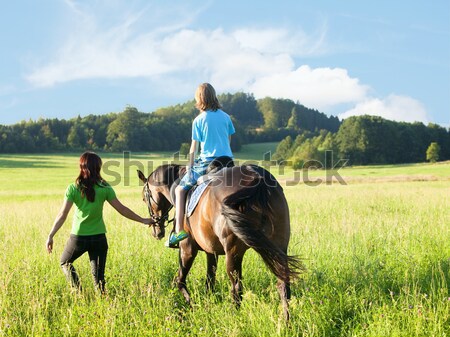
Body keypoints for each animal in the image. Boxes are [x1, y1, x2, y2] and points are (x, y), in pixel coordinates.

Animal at [137, 162, 302, 318]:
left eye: (145, 198)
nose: (156, 231)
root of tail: (258, 177)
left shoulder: (187, 249)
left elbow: (180, 280)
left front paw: (192, 306)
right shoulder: (212, 252)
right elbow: (210, 281)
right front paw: (208, 303)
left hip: (233, 253)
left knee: (237, 288)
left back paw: (235, 318)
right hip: (279, 247)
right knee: (283, 285)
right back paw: (286, 322)